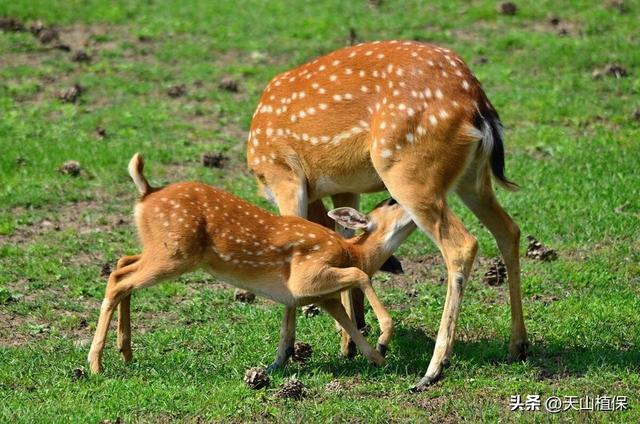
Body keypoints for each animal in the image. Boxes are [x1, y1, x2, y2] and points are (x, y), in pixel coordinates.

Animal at [87, 154, 416, 372]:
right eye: (391, 202)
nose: (414, 201)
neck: (351, 251)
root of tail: (146, 192)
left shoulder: (323, 297)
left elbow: (349, 324)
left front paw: (378, 359)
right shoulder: (306, 277)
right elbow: (361, 276)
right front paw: (385, 339)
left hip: (159, 248)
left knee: (122, 264)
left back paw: (126, 353)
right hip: (175, 254)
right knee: (118, 280)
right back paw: (96, 364)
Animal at [248, 40, 528, 390]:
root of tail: (478, 105)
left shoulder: (283, 176)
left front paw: (281, 356)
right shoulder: (344, 187)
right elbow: (346, 242)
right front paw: (350, 342)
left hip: (408, 171)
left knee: (462, 244)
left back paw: (433, 369)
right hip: (473, 178)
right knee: (509, 230)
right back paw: (517, 346)